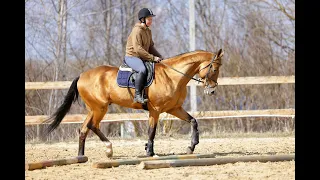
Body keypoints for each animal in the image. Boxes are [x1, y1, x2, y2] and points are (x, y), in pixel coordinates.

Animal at [43, 48, 224, 157]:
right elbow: (152, 131)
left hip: (93, 109)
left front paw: (191, 146)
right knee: (93, 126)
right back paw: (108, 148)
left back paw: (81, 156)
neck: (172, 76)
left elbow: (193, 121)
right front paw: (150, 152)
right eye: (214, 69)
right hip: (100, 108)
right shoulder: (155, 110)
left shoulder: (174, 108)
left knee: (83, 129)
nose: (212, 90)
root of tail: (82, 75)